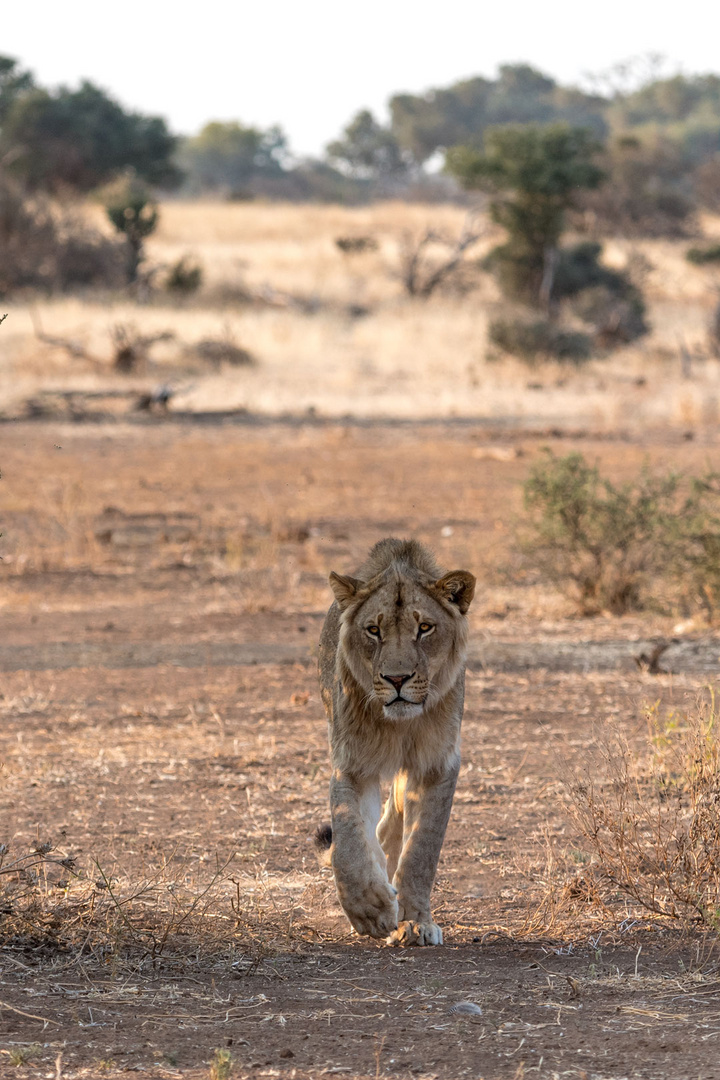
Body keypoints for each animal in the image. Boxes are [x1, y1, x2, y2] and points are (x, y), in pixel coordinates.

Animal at [317, 535, 474, 941]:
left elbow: (422, 849)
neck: (400, 725)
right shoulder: (352, 763)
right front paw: (370, 909)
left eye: (425, 628)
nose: (397, 679)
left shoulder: (437, 764)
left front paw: (417, 921)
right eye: (374, 630)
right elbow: (350, 837)